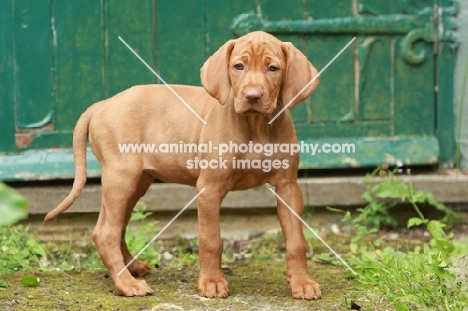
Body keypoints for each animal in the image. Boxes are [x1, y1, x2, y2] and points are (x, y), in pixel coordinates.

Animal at [44, 31, 322, 300]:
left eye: (273, 68)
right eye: (238, 66)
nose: (252, 96)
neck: (255, 126)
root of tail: (102, 104)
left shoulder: (288, 187)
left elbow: (296, 240)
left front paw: (301, 282)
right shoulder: (209, 188)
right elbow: (211, 239)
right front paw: (212, 282)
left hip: (136, 183)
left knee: (117, 225)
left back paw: (132, 268)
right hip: (121, 178)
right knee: (105, 232)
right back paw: (126, 283)